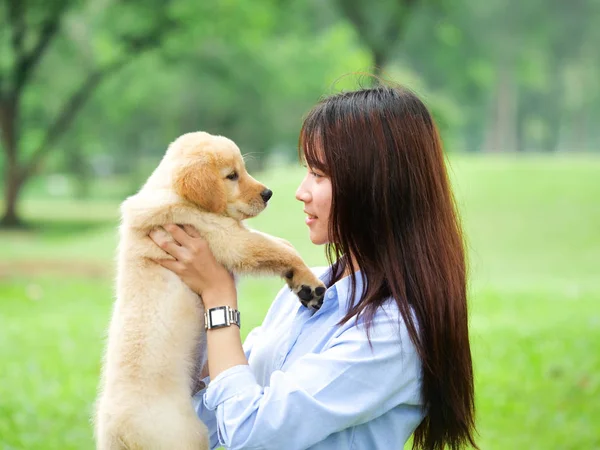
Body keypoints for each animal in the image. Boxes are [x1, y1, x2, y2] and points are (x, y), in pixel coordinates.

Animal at [94, 133, 326, 450]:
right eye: (231, 176)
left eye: (243, 169)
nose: (268, 193)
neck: (176, 195)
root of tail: (121, 433)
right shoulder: (227, 237)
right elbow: (280, 249)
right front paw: (309, 283)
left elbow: (281, 244)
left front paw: (301, 282)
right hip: (188, 437)